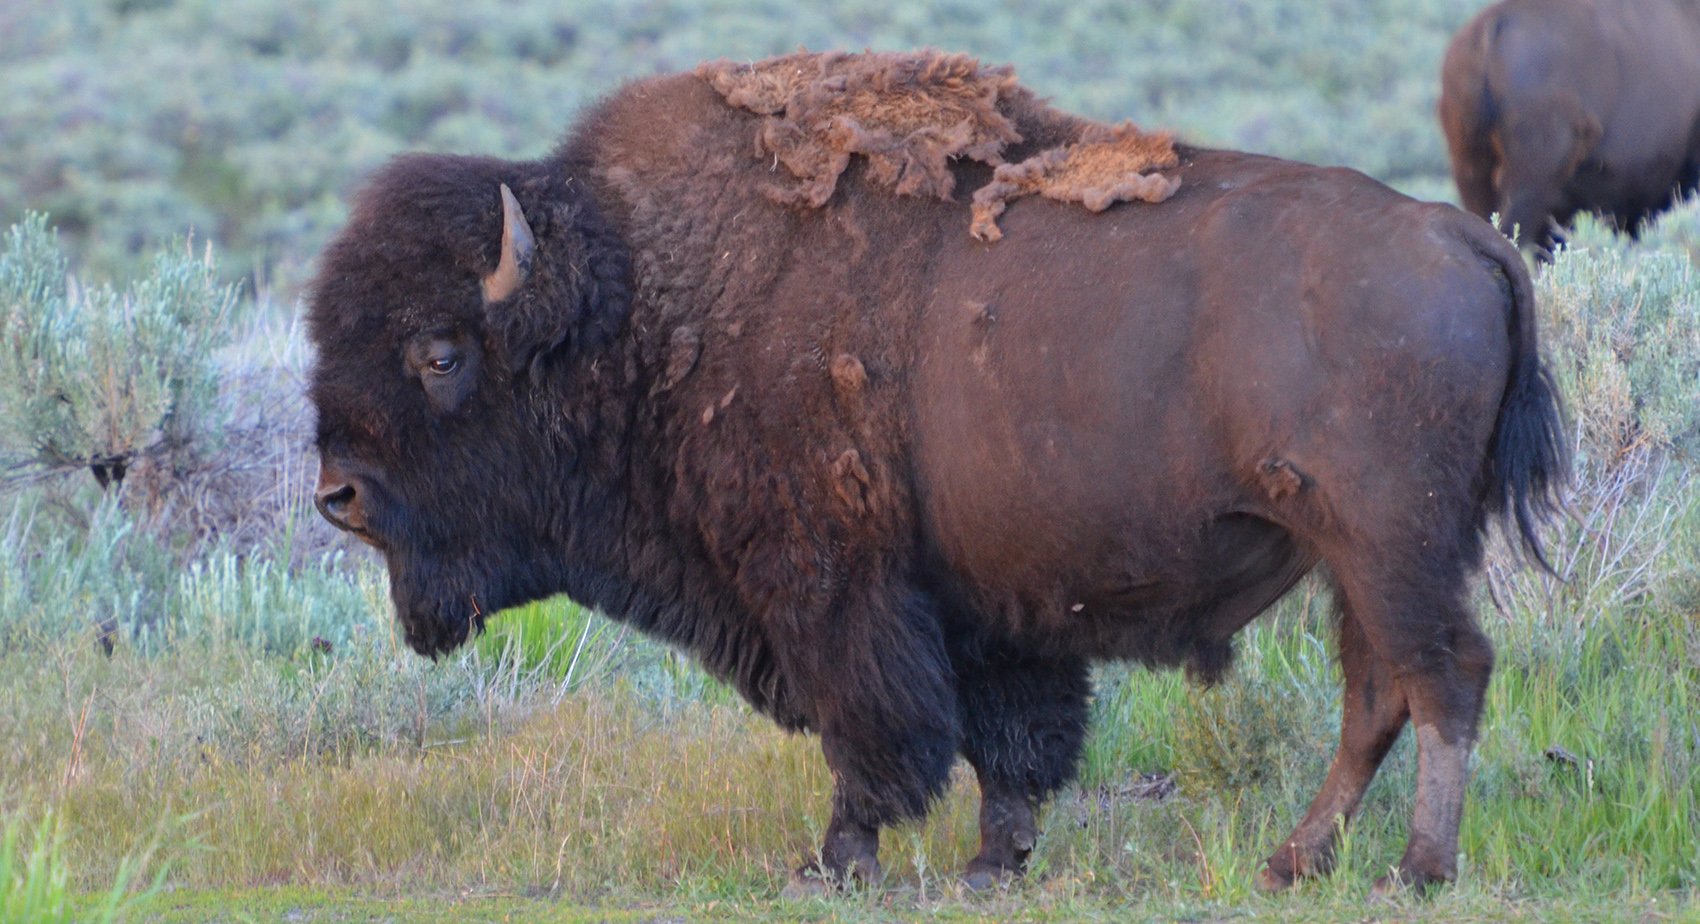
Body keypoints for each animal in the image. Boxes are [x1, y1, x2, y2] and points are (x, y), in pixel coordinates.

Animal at [309, 48, 1564, 896]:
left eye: (440, 352)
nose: (338, 495)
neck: (645, 306)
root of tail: (1464, 238)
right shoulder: (988, 606)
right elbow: (1010, 737)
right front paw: (993, 862)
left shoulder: (827, 588)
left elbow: (869, 729)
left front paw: (836, 861)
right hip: (1354, 557)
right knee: (1378, 690)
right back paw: (1294, 860)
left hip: (1387, 543)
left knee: (1440, 675)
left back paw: (1413, 869)